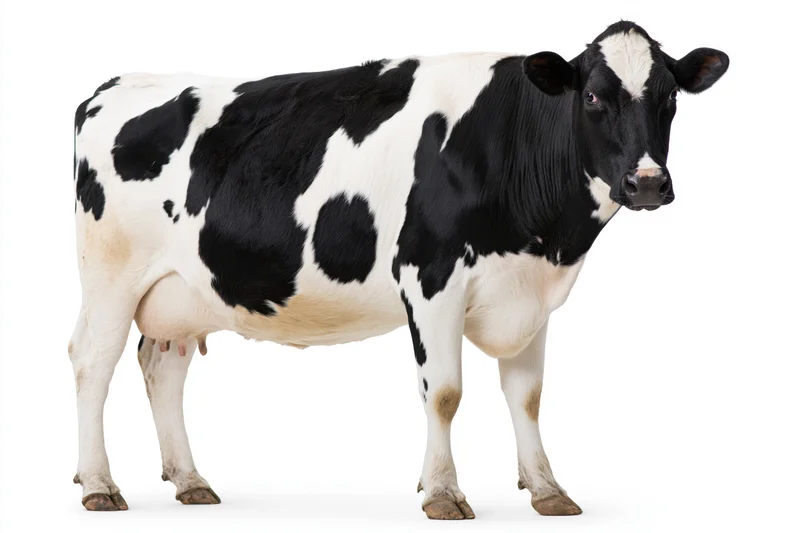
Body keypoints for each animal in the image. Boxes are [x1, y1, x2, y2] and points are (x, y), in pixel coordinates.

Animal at [69, 20, 728, 518]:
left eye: (670, 97)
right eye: (592, 96)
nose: (648, 183)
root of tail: (114, 84)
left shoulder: (530, 293)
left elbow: (528, 396)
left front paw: (547, 489)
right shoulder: (430, 277)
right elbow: (444, 392)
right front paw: (442, 492)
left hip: (184, 292)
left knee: (162, 369)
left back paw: (190, 482)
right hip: (110, 275)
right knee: (92, 363)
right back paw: (99, 485)